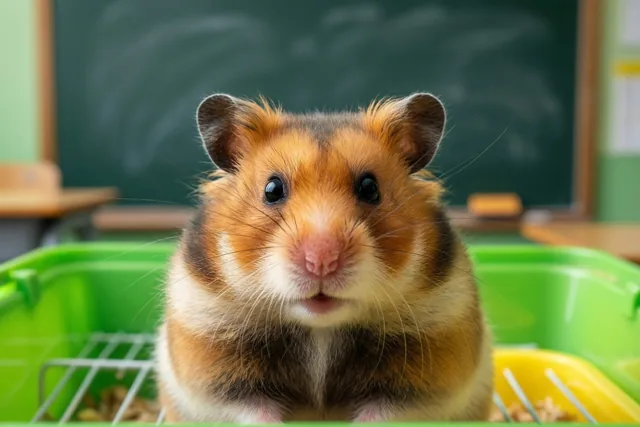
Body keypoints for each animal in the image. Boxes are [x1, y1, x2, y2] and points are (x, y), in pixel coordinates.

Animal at [154, 92, 493, 423]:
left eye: (370, 188)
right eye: (272, 189)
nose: (321, 261)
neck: (321, 328)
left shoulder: (430, 369)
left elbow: (384, 413)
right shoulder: (211, 359)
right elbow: (252, 409)